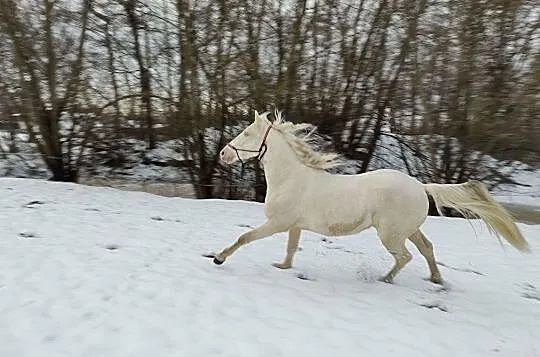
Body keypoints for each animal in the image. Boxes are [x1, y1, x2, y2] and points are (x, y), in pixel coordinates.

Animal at [212, 110, 532, 282]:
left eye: (247, 133)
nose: (223, 153)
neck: (291, 178)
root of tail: (420, 186)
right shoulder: (294, 226)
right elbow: (291, 249)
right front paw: (283, 267)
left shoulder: (279, 223)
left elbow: (245, 237)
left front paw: (219, 258)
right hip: (409, 230)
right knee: (427, 249)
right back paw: (437, 280)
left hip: (391, 234)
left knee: (405, 257)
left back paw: (385, 279)